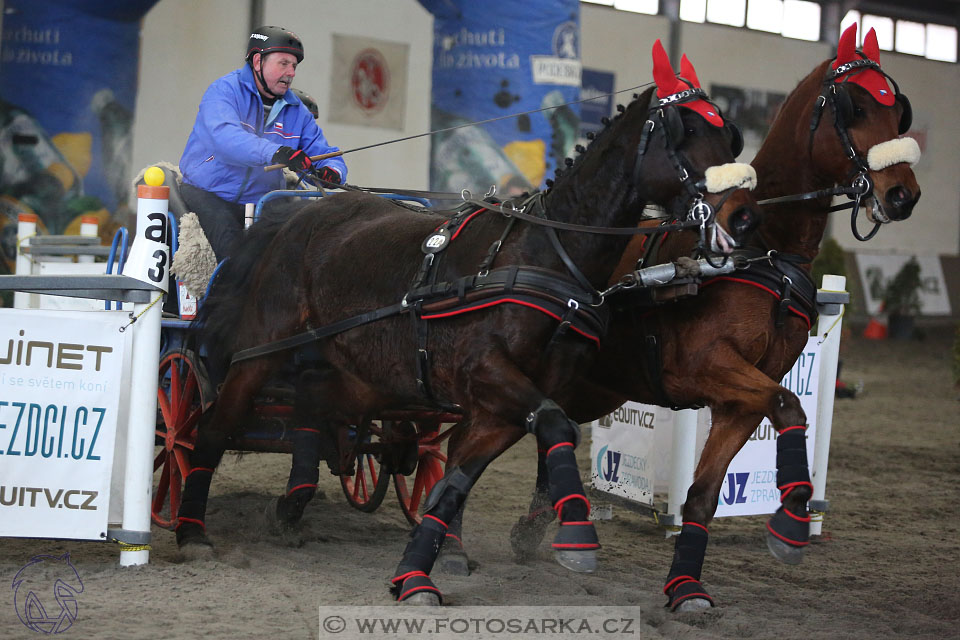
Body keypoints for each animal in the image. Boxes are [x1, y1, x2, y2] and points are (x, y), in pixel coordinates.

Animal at [174, 41, 756, 604]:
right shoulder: (488, 375)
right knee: (214, 427)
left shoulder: (503, 405)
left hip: (352, 367)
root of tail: (297, 214)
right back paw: (190, 530)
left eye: (729, 135)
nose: (744, 215)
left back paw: (291, 509)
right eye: (684, 131)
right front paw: (576, 536)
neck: (544, 253)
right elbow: (556, 425)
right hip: (261, 351)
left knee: (314, 415)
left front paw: (416, 574)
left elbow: (456, 478)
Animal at [498, 25, 920, 612]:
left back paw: (534, 528)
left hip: (593, 386)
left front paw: (686, 587)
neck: (763, 252)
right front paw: (791, 522)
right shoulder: (706, 367)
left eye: (897, 112)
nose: (902, 194)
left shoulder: (740, 399)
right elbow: (789, 406)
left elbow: (703, 495)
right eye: (853, 107)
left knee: (548, 428)